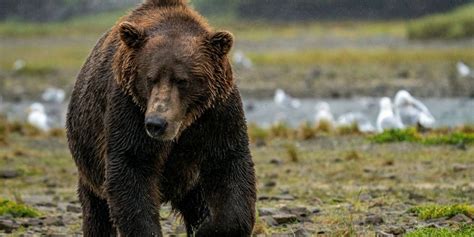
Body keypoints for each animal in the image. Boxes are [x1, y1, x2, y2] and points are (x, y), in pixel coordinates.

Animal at [65, 0, 256, 236]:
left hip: (190, 179)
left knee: (197, 201)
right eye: (150, 78)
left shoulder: (217, 113)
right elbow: (132, 168)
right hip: (88, 158)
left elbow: (228, 164)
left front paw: (208, 228)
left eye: (182, 80)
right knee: (96, 210)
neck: (184, 123)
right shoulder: (129, 108)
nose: (156, 123)